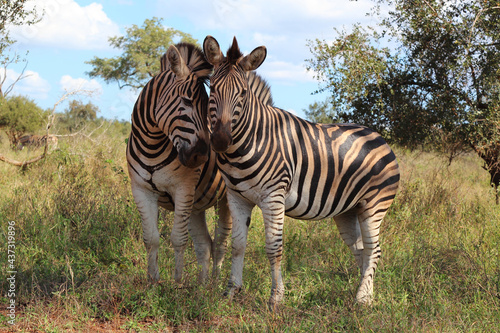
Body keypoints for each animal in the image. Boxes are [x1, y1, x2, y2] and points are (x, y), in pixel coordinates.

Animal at [127, 41, 232, 284]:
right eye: (186, 101)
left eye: (207, 108)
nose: (201, 156)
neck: (152, 146)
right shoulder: (141, 190)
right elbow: (151, 239)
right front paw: (153, 282)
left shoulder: (183, 188)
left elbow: (178, 239)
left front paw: (177, 283)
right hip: (197, 205)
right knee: (205, 244)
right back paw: (202, 285)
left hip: (225, 199)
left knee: (220, 243)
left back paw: (215, 283)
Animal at [201, 35, 400, 308]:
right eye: (212, 88)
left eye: (242, 93)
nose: (220, 140)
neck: (253, 139)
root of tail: (379, 136)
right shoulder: (237, 197)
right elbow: (238, 245)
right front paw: (231, 291)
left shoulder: (273, 197)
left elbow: (274, 248)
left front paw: (276, 299)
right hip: (348, 210)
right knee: (361, 251)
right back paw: (365, 294)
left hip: (375, 204)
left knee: (374, 250)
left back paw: (362, 299)